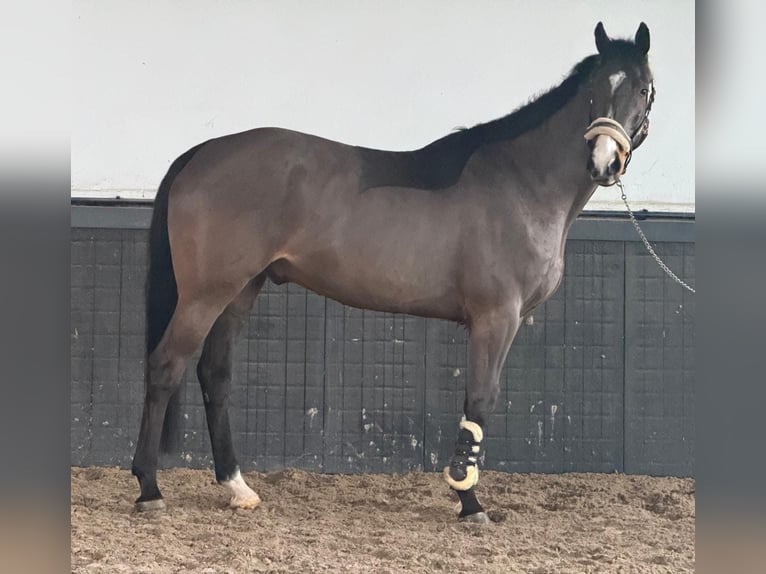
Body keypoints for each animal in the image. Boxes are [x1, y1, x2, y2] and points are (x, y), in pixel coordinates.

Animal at [132, 22, 655, 523]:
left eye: (643, 88)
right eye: (594, 88)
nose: (604, 161)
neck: (521, 182)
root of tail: (201, 152)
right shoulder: (496, 318)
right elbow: (480, 401)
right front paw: (469, 501)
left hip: (241, 290)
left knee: (214, 374)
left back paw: (237, 487)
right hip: (205, 293)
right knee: (165, 366)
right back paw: (149, 489)